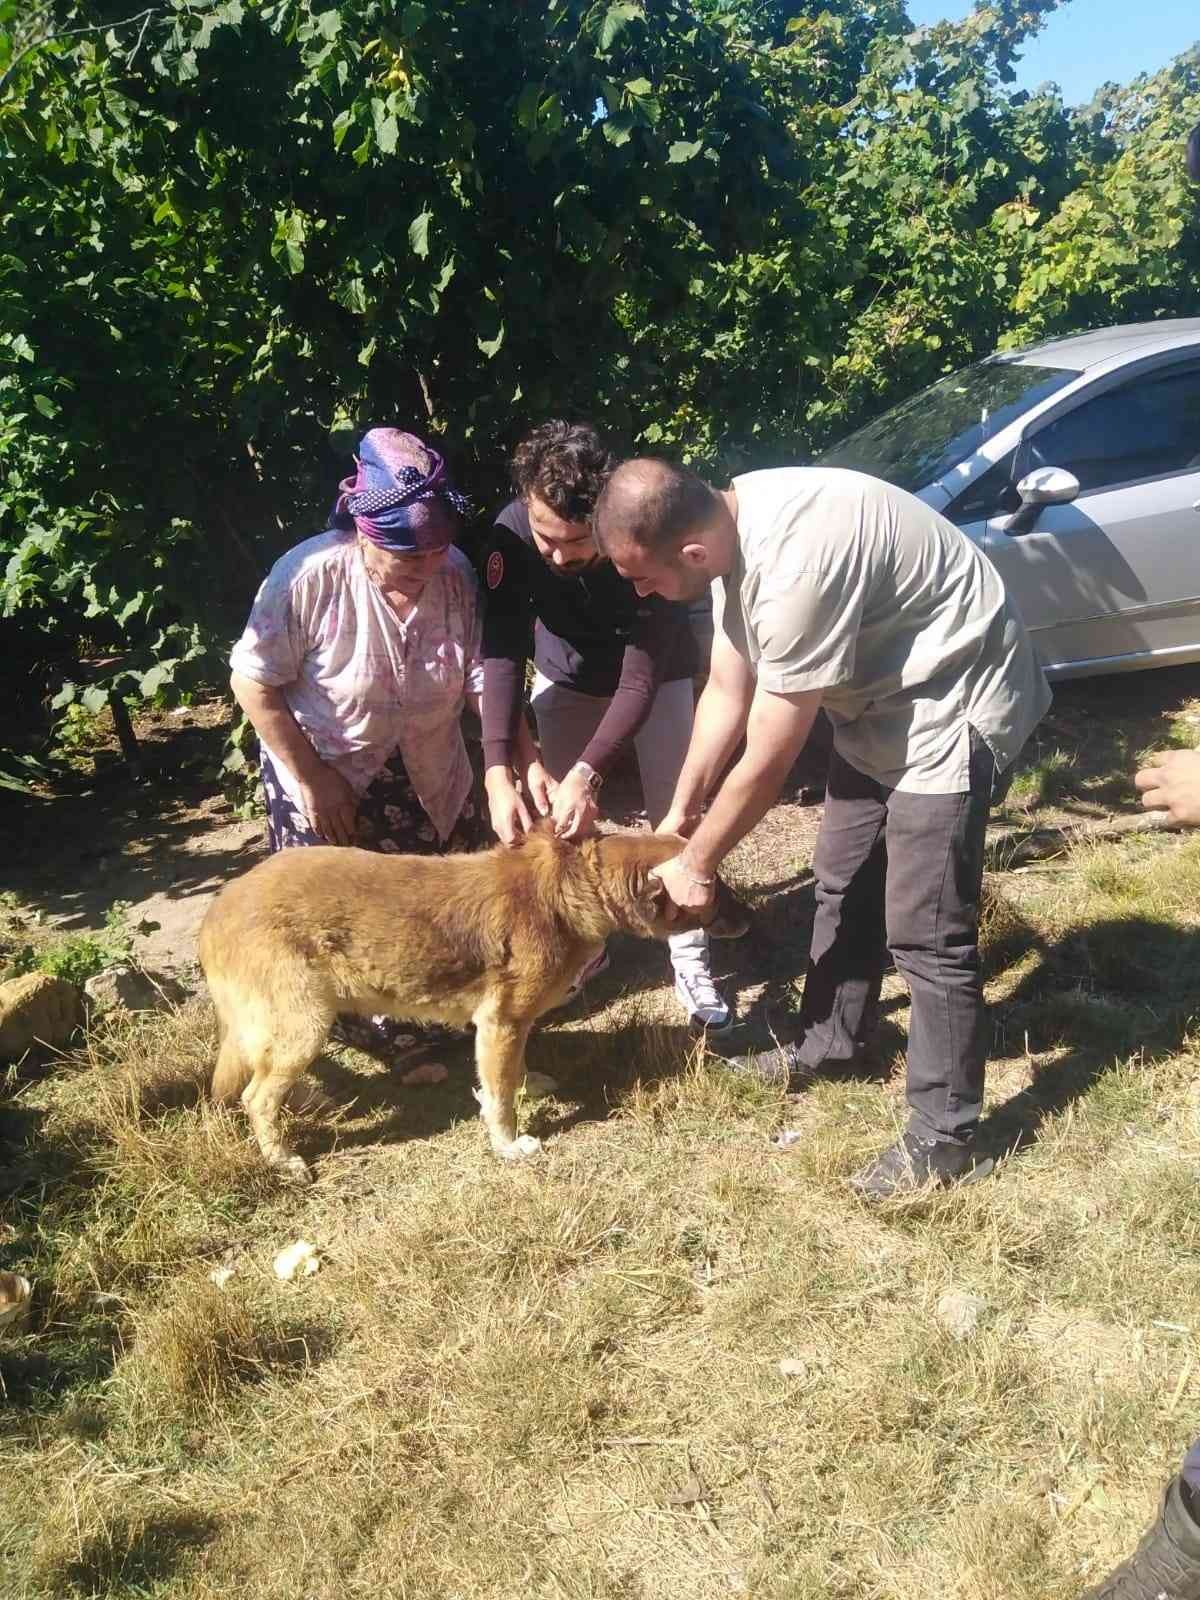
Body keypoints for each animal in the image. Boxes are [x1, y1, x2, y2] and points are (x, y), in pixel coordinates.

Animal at [197, 825, 742, 1177]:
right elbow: (499, 1097)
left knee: (263, 1074)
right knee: (256, 1096)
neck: (574, 888)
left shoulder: (511, 1028)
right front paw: (508, 1146)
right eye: (714, 888)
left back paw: (309, 1100)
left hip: (297, 1026)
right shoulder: (501, 1023)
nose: (748, 920)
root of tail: (217, 910)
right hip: (306, 1024)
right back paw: (281, 1157)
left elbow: (512, 1073)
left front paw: (530, 1084)